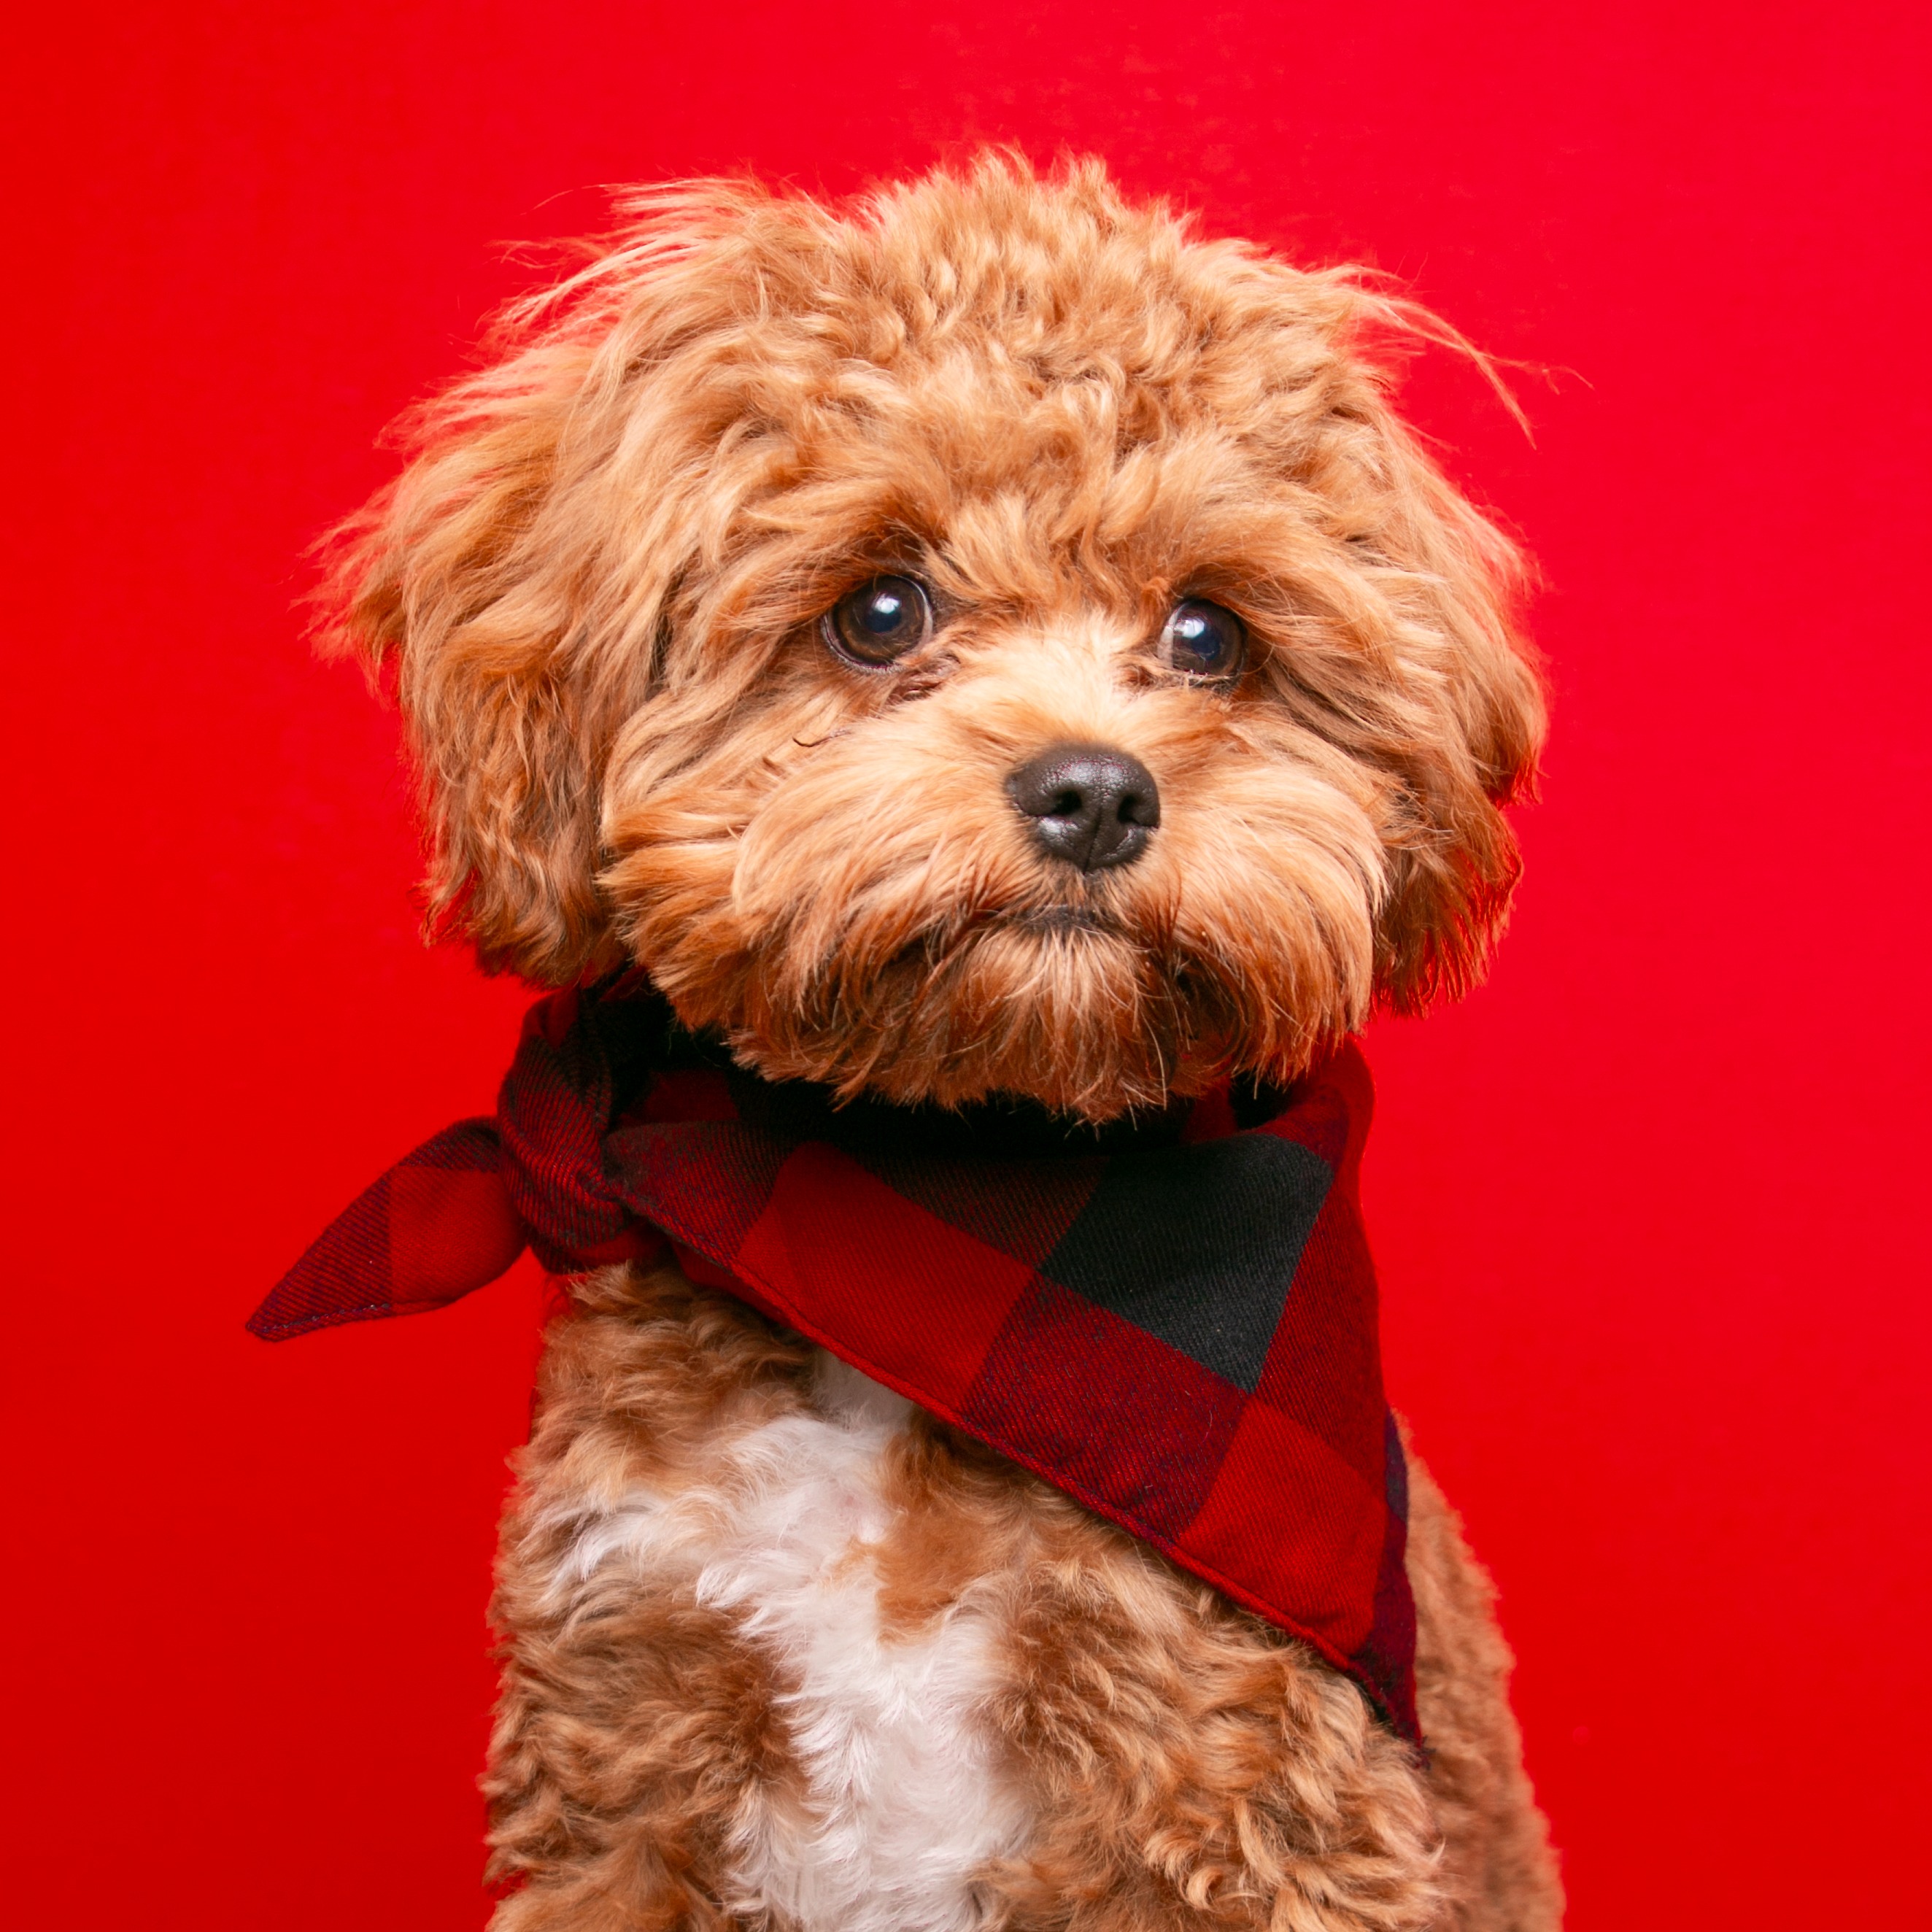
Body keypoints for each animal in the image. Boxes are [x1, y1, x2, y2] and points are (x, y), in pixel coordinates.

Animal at [312, 154, 1553, 1932]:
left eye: (1207, 634)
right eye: (879, 609)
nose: (1095, 790)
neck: (935, 1215)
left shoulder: (1247, 1787)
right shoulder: (620, 1751)